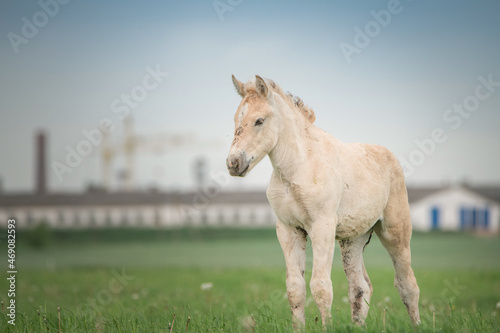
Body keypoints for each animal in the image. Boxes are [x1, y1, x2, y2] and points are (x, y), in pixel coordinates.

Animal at [228, 74, 422, 326]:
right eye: (236, 119)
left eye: (259, 121)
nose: (233, 163)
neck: (297, 168)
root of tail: (389, 155)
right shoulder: (288, 229)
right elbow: (295, 289)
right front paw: (298, 328)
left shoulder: (322, 226)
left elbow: (321, 287)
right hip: (353, 238)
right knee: (360, 286)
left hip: (395, 231)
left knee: (407, 283)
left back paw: (417, 325)